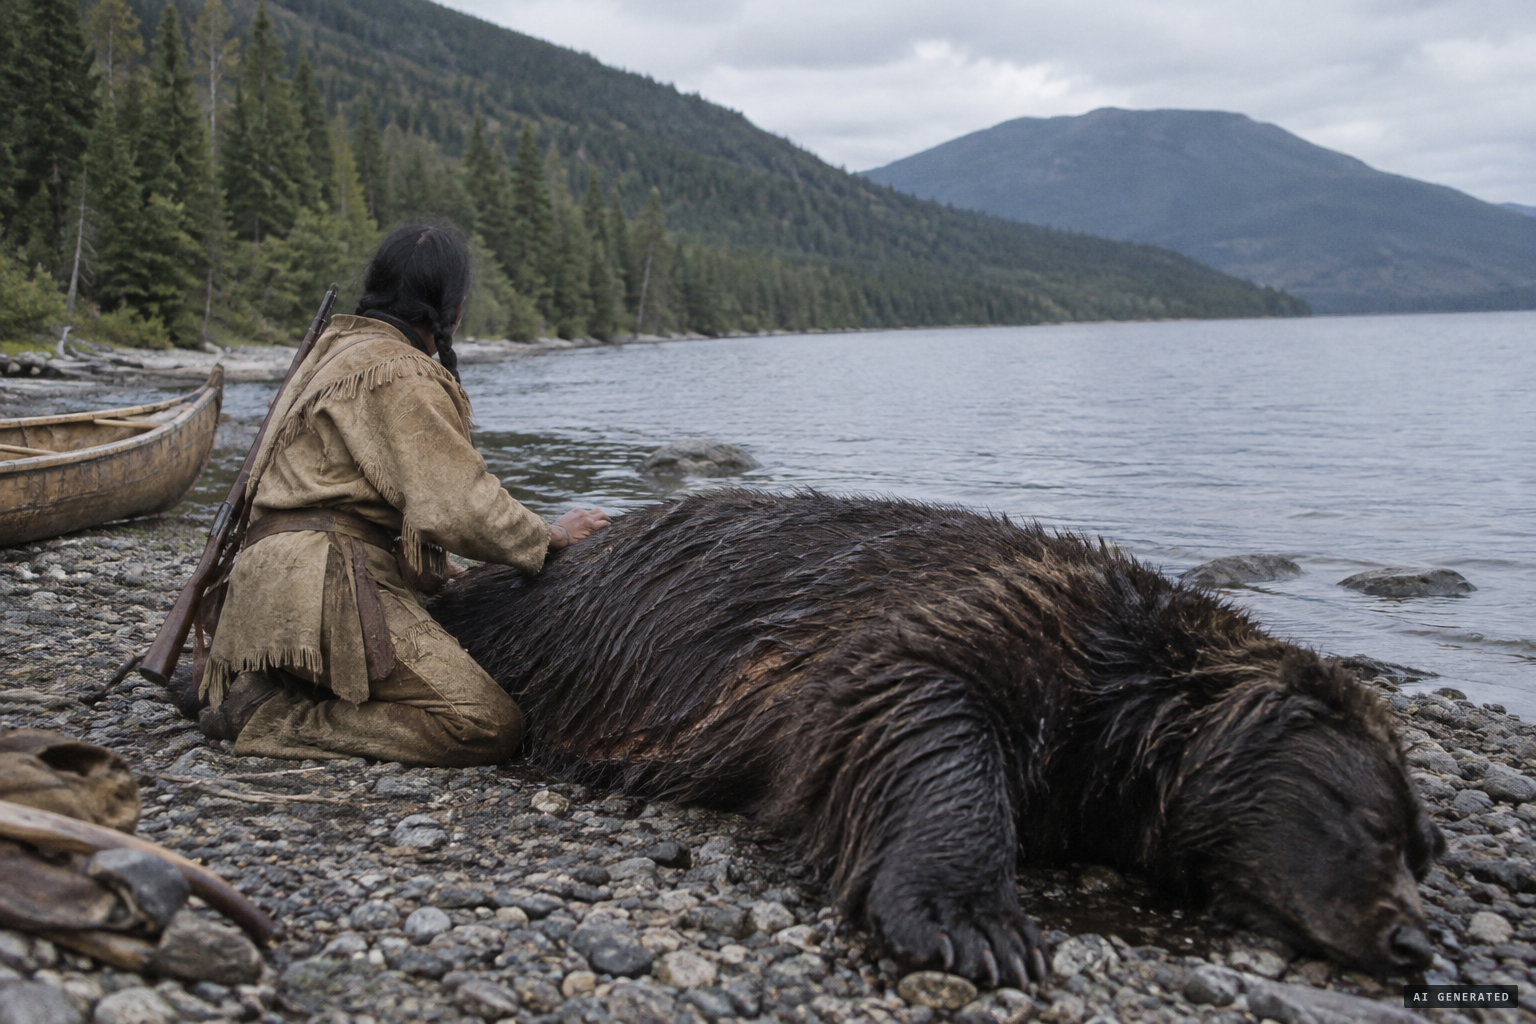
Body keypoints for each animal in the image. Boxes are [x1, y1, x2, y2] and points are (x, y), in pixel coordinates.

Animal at [430, 490, 1444, 988]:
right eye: (1369, 823)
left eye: (1419, 850)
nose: (1413, 945)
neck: (1138, 717)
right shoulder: (1003, 619)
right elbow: (915, 698)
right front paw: (975, 926)